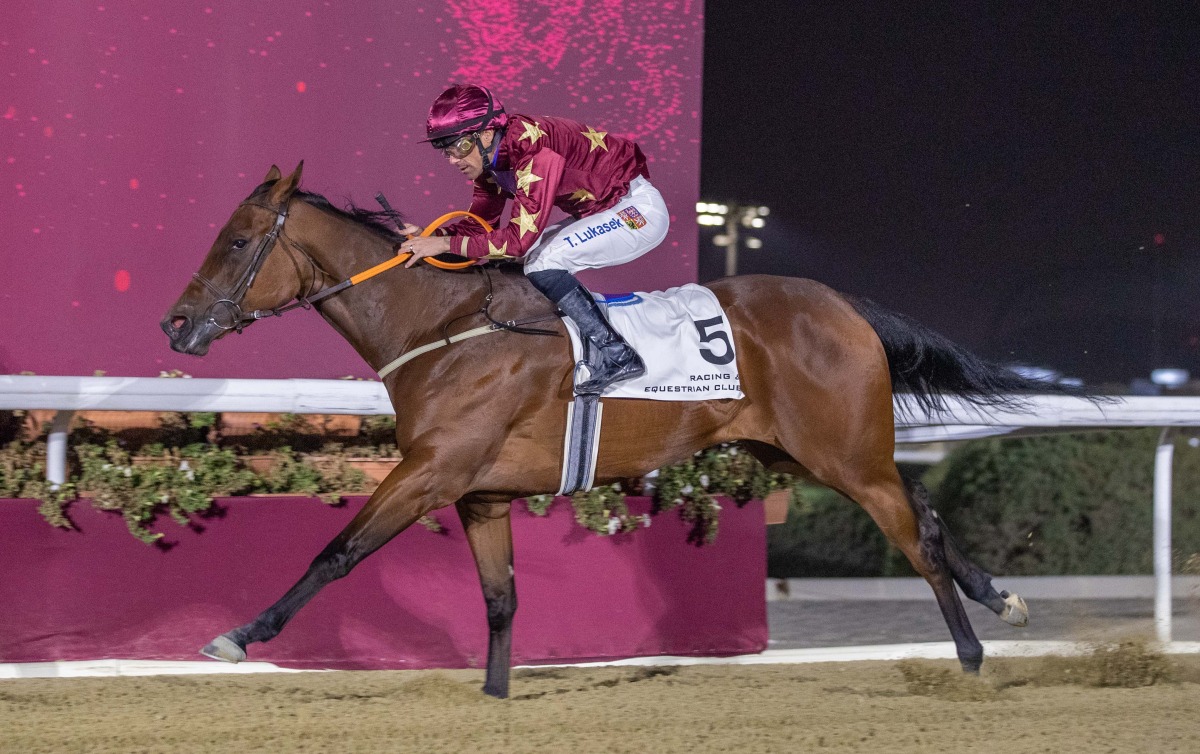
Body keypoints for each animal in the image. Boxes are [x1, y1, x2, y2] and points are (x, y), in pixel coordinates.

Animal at [162, 162, 1041, 696]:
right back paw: (1002, 601)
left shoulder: (431, 472)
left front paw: (236, 636)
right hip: (803, 451)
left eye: (236, 241)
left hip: (845, 454)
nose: (175, 325)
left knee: (914, 537)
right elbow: (500, 599)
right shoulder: (478, 492)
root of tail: (843, 306)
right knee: (923, 511)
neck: (443, 328)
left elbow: (337, 552)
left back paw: (970, 656)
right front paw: (494, 695)